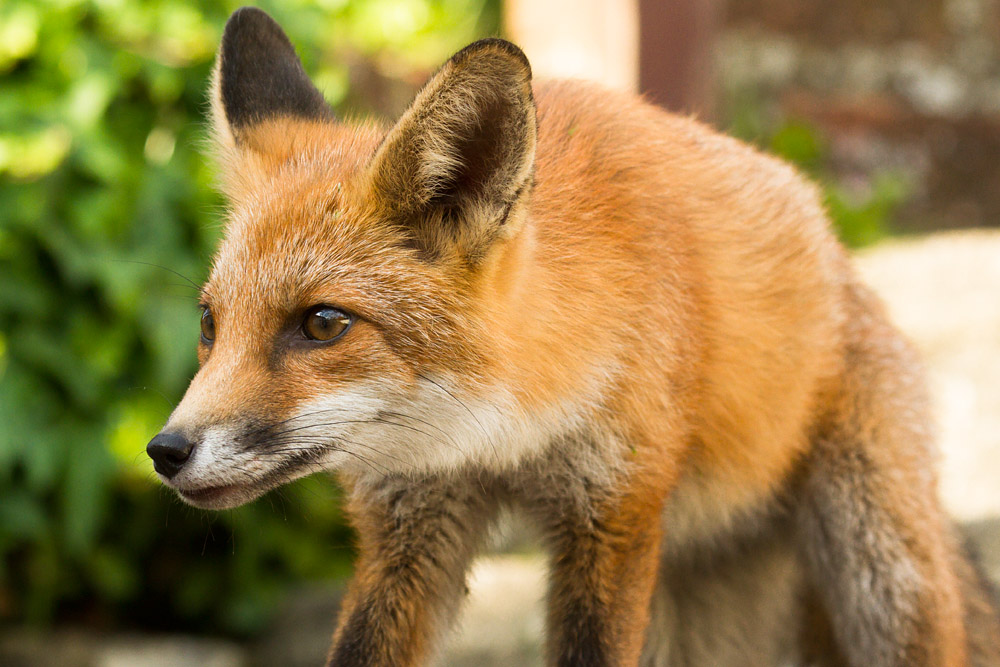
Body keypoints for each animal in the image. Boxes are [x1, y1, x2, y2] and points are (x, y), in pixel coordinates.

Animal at [145, 6, 1000, 666]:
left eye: (322, 323)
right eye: (209, 324)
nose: (165, 449)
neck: (504, 435)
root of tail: (845, 261)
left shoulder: (615, 510)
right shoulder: (412, 523)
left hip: (881, 568)